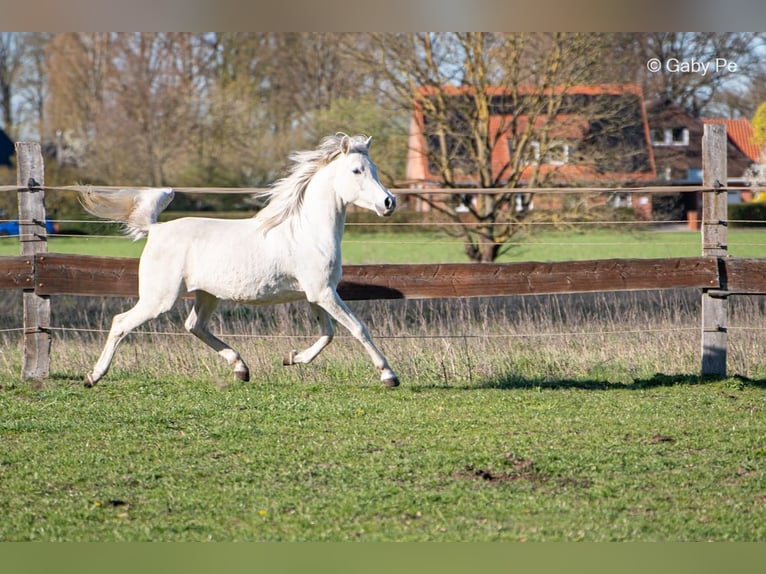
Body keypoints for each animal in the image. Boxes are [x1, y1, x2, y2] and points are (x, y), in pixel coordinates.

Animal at [79, 133, 400, 387]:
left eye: (374, 169)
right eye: (357, 170)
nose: (389, 202)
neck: (308, 231)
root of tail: (156, 229)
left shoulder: (315, 294)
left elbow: (328, 333)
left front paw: (292, 358)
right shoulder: (323, 293)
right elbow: (357, 328)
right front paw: (389, 375)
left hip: (207, 295)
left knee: (195, 326)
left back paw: (241, 368)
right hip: (159, 298)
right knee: (121, 322)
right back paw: (93, 376)